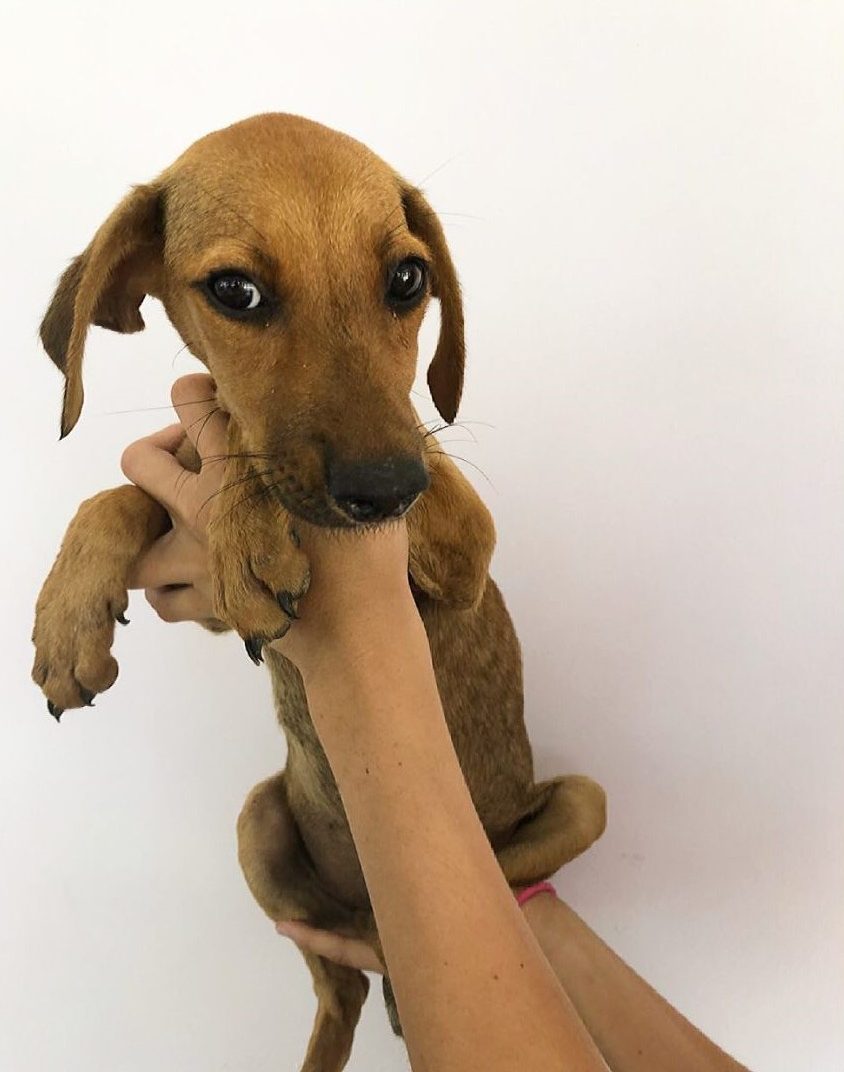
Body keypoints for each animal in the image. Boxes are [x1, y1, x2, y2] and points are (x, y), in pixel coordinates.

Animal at [29, 115, 604, 1072]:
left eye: (408, 279)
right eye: (236, 291)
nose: (384, 492)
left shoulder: (461, 530)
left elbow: (241, 444)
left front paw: (249, 529)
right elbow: (123, 493)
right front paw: (67, 622)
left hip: (576, 807)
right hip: (257, 822)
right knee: (341, 989)